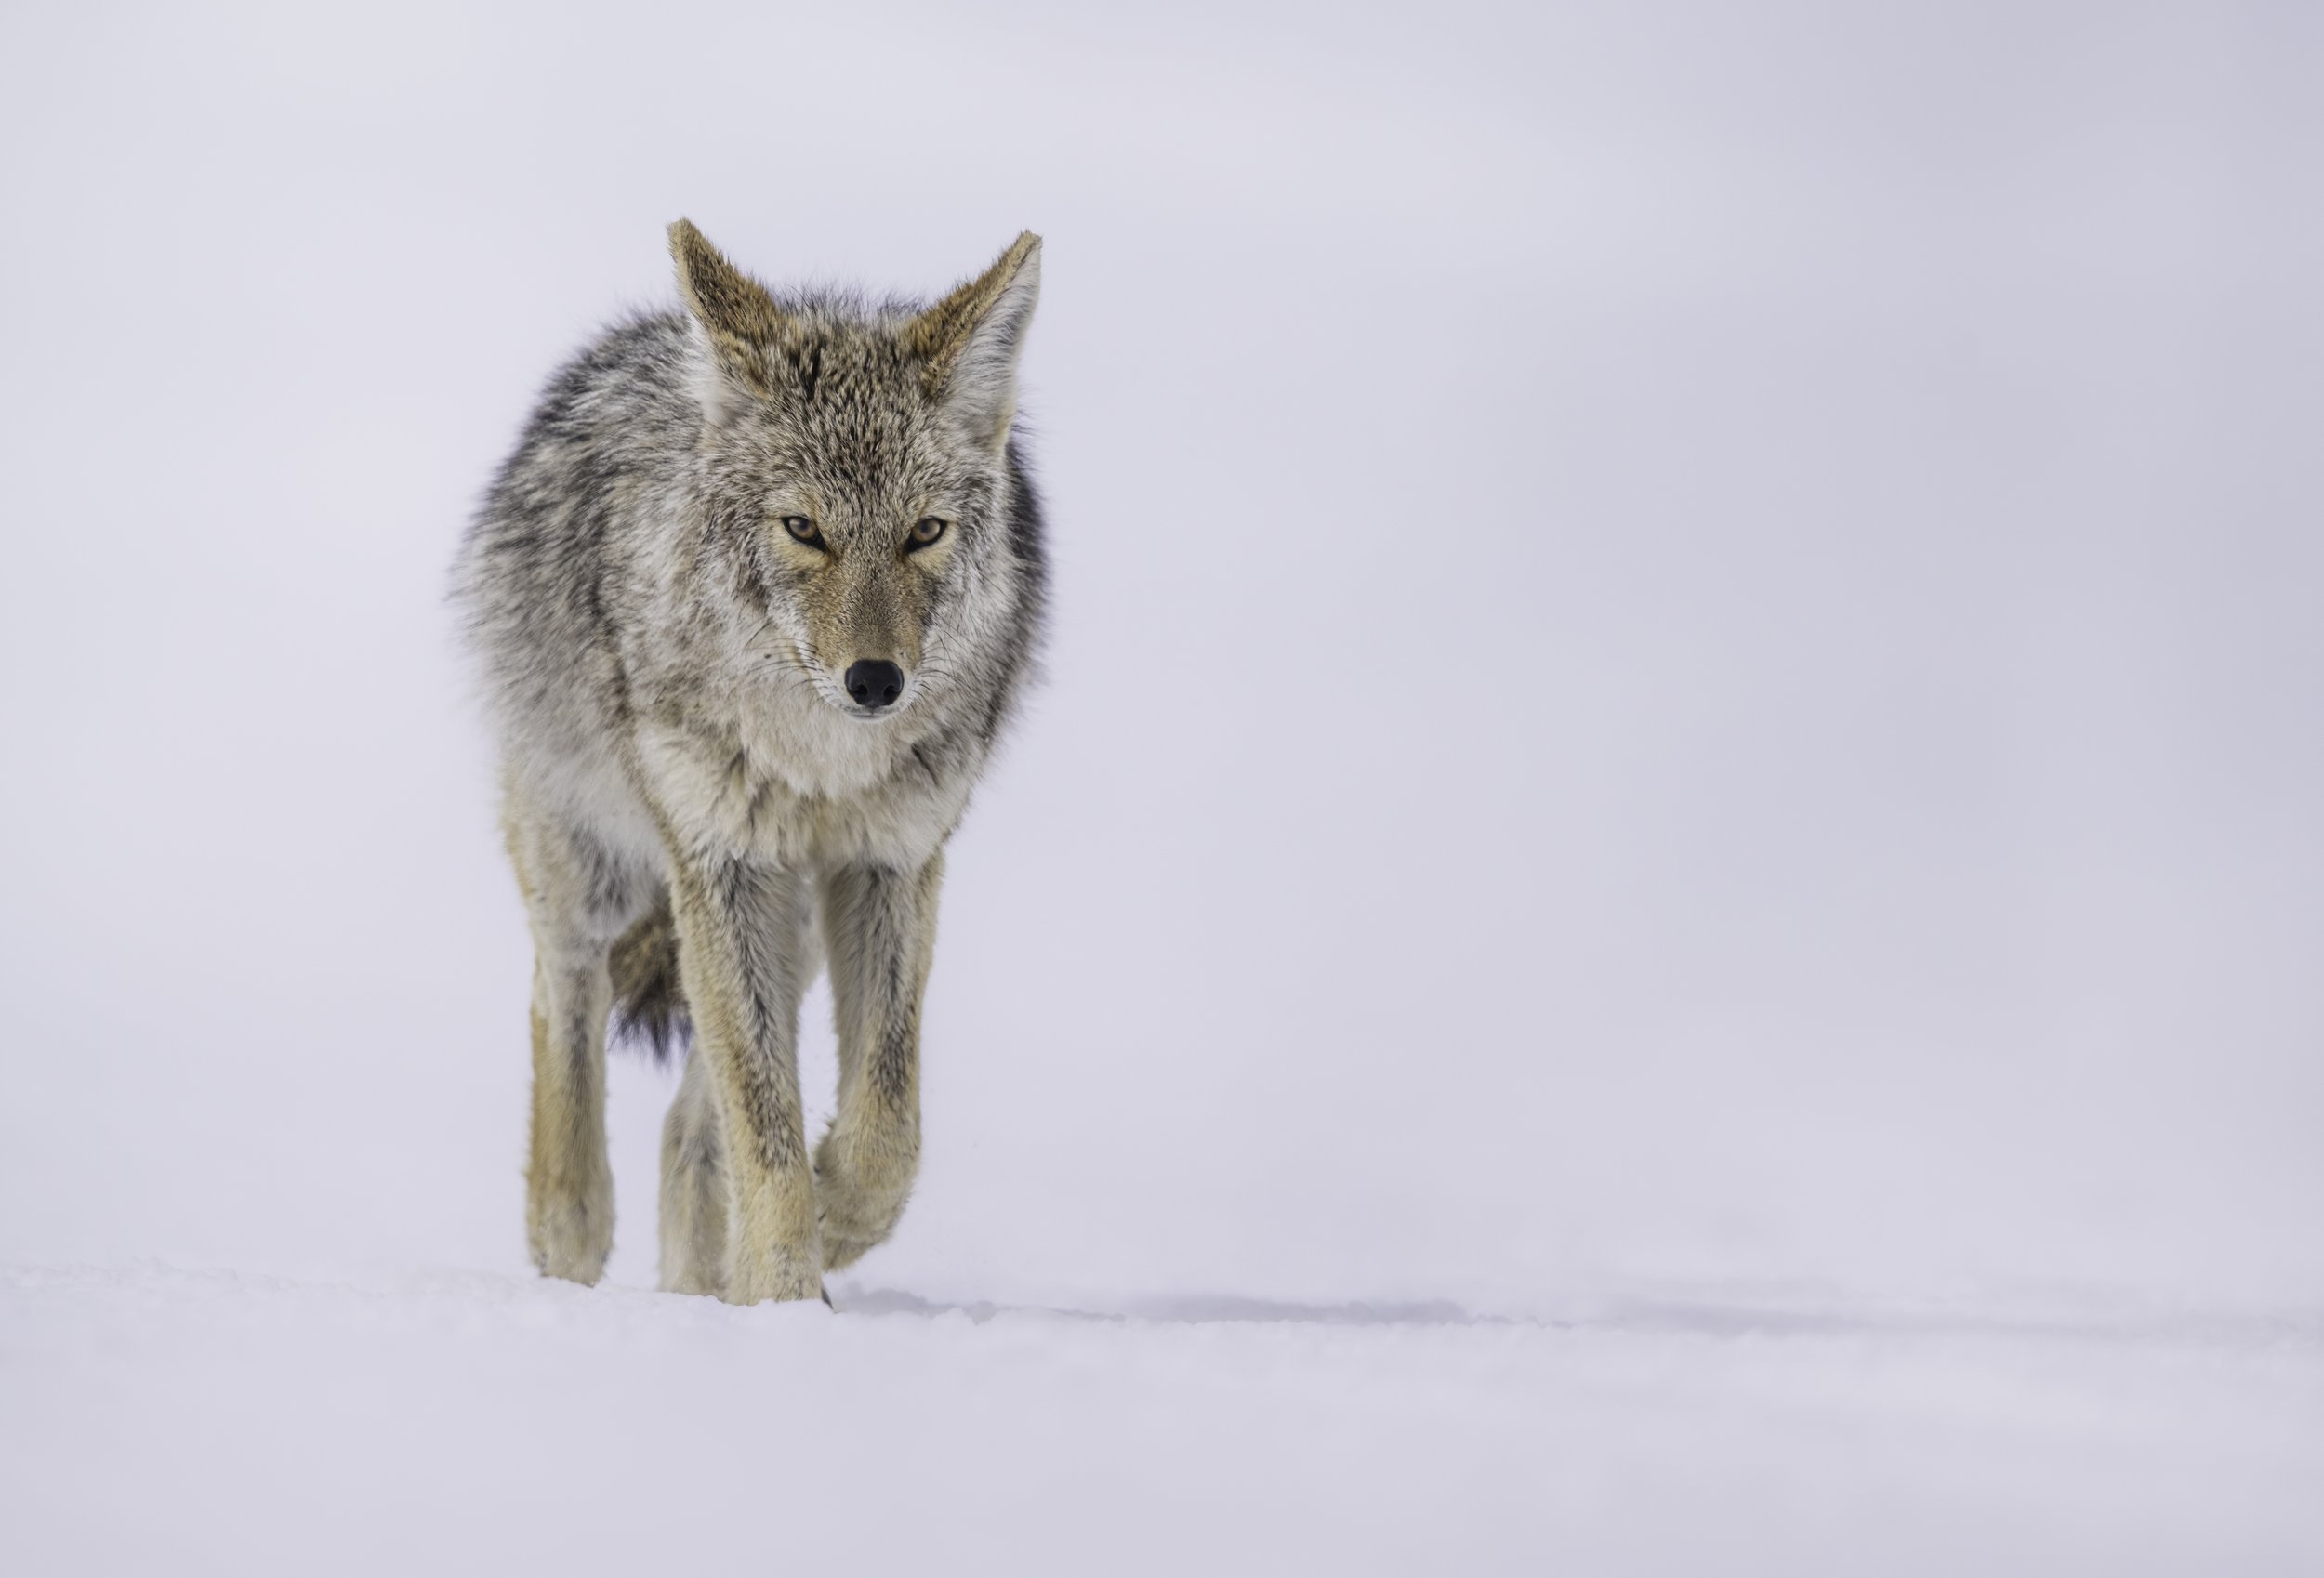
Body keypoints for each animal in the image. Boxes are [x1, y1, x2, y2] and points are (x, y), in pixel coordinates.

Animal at [451, 221, 1046, 1304]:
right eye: (804, 529)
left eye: (924, 533)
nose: (875, 682)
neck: (820, 764)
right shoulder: (719, 861)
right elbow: (764, 1124)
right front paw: (785, 1299)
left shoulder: (890, 863)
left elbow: (883, 1124)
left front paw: (827, 1233)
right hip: (599, 877)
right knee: (561, 1005)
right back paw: (568, 1249)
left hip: (790, 922)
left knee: (689, 1126)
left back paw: (700, 1289)